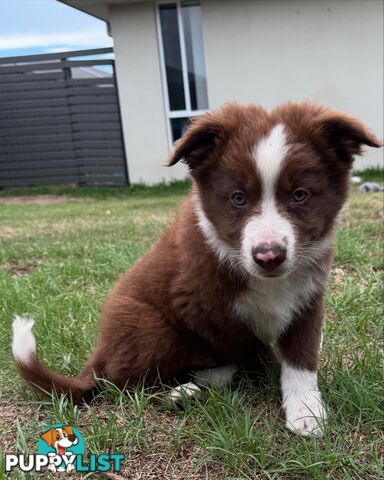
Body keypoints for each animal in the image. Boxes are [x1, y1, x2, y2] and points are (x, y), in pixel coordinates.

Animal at [12, 103, 380, 436]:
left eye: (300, 196)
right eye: (237, 199)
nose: (268, 256)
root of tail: (98, 354)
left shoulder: (307, 296)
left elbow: (301, 357)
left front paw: (305, 410)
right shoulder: (204, 308)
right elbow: (255, 353)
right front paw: (271, 380)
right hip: (150, 327)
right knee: (124, 384)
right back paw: (185, 389)